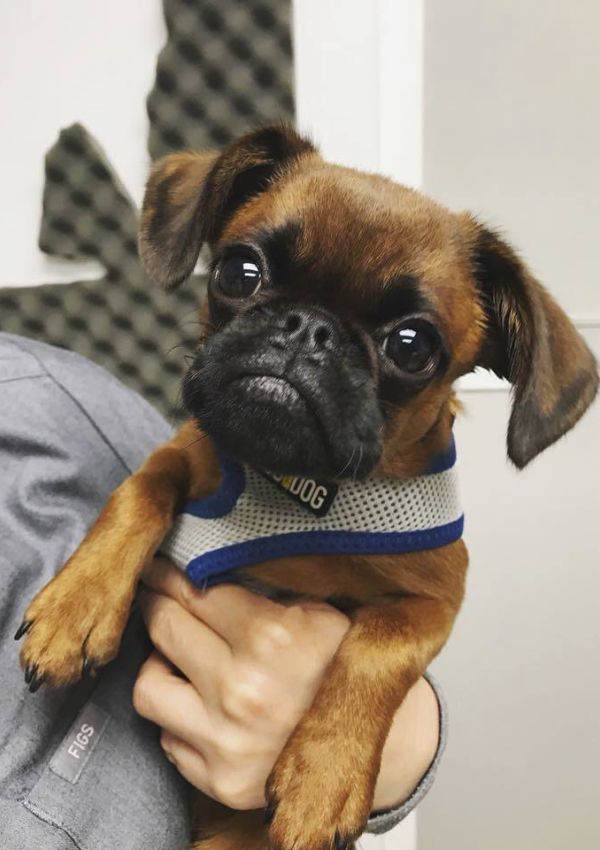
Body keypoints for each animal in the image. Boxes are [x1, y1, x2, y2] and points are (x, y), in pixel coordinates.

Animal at [16, 126, 596, 848]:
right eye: (239, 272)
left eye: (412, 346)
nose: (308, 328)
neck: (300, 489)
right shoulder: (188, 451)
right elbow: (140, 490)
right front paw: (79, 603)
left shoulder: (438, 596)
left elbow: (378, 650)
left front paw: (324, 776)